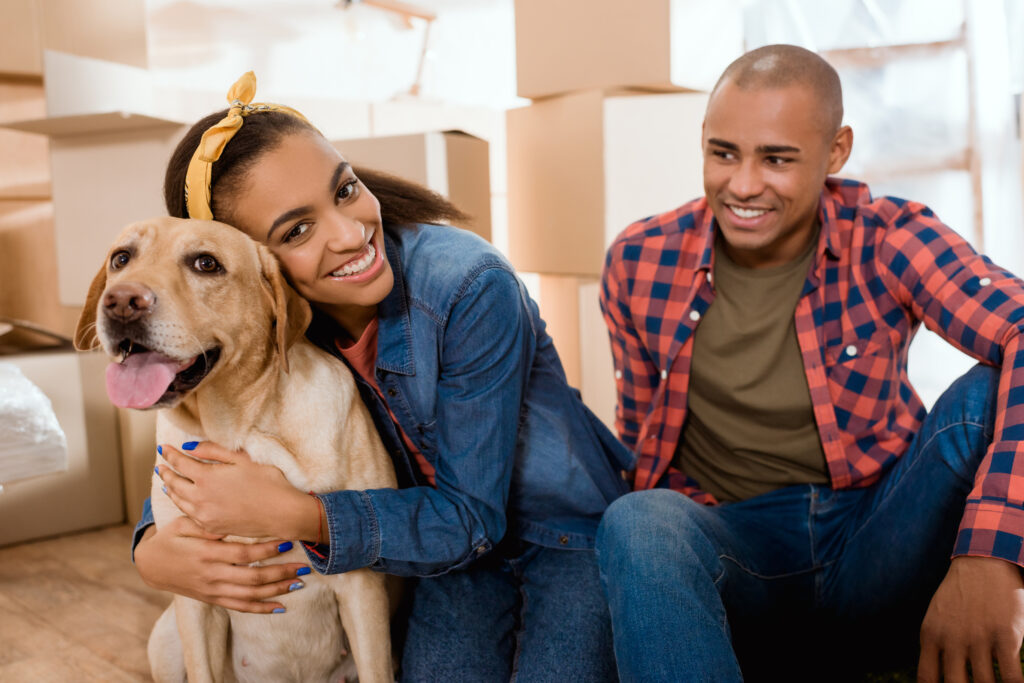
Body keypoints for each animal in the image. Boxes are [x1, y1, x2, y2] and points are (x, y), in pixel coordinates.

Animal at [74, 216, 395, 679]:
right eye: (121, 258)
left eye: (206, 264)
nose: (120, 302)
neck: (242, 431)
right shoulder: (192, 588)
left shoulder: (361, 585)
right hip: (166, 638)